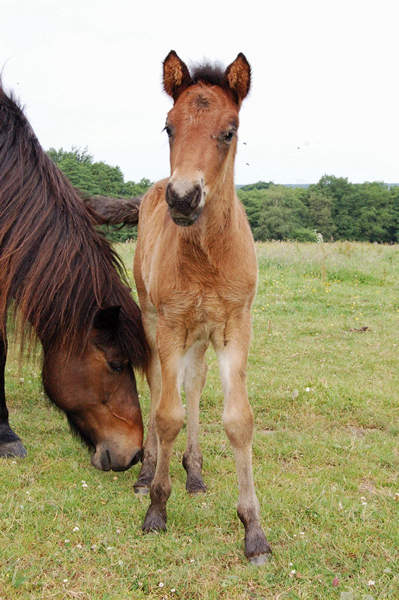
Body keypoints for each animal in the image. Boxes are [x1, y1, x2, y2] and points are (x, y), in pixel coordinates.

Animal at [134, 50, 272, 564]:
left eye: (229, 130)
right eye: (168, 127)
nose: (182, 197)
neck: (208, 255)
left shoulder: (235, 326)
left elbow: (238, 420)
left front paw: (254, 532)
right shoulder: (171, 323)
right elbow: (166, 413)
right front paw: (156, 509)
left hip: (200, 334)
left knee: (192, 384)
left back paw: (193, 472)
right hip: (154, 317)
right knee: (158, 384)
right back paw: (146, 471)